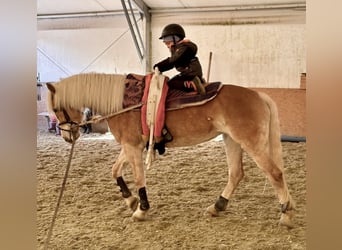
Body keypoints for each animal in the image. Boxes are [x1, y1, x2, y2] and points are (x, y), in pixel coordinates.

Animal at [46, 72, 296, 229]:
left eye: (57, 108)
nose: (67, 136)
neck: (123, 104)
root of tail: (258, 95)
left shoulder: (132, 147)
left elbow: (139, 178)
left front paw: (141, 209)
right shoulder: (131, 146)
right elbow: (115, 171)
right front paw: (130, 201)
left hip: (250, 142)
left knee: (275, 173)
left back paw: (285, 215)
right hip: (232, 140)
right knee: (236, 174)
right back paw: (217, 206)